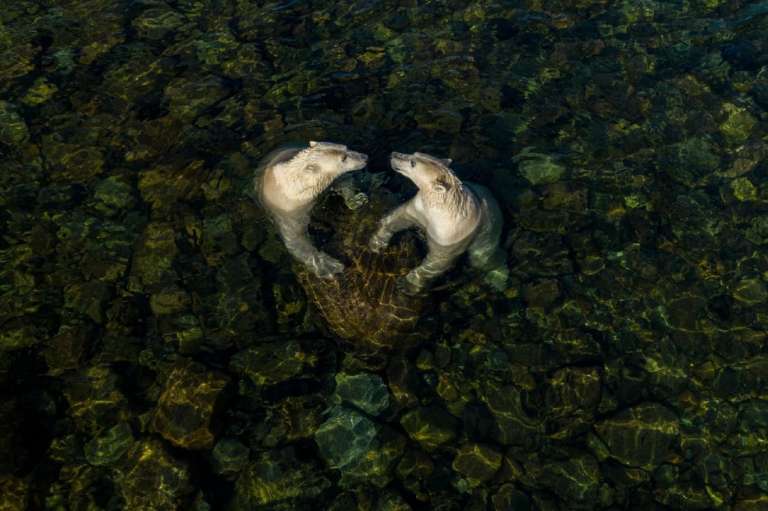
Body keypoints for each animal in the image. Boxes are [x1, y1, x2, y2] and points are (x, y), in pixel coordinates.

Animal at [253, 141, 368, 278]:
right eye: (343, 158)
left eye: (346, 147)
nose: (365, 158)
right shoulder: (288, 209)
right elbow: (295, 238)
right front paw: (331, 266)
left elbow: (343, 182)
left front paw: (357, 200)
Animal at [369, 151, 508, 294]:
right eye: (414, 153)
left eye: (413, 163)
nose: (393, 154)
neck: (441, 208)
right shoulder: (420, 208)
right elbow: (400, 217)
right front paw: (377, 243)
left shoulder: (448, 234)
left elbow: (437, 261)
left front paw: (406, 284)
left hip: (489, 229)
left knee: (482, 257)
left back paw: (498, 278)